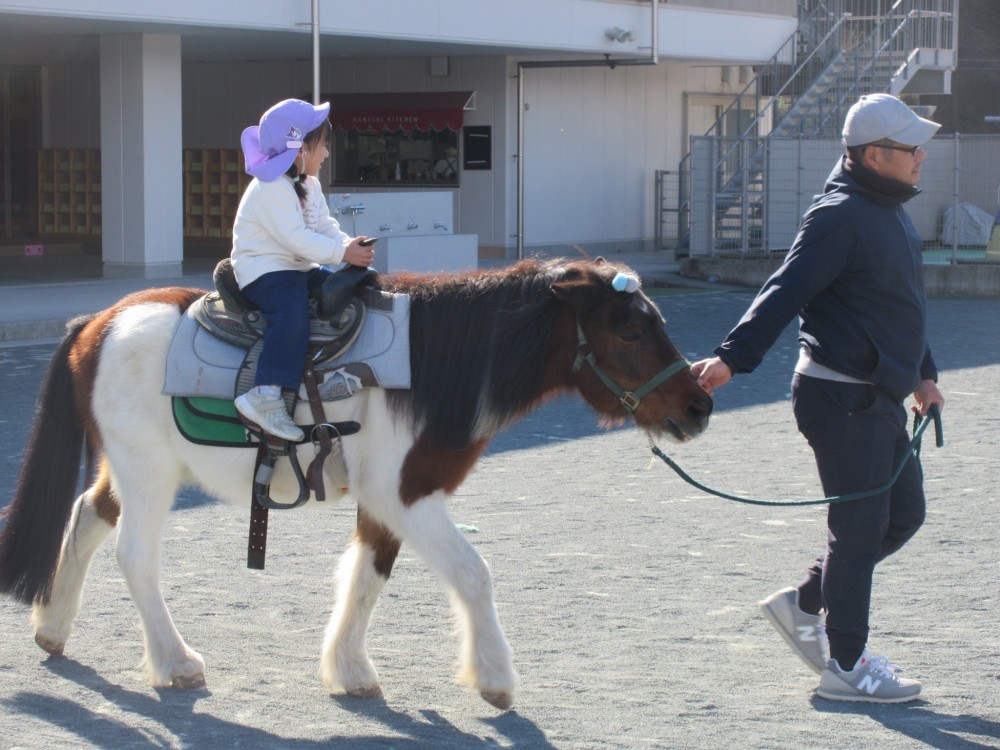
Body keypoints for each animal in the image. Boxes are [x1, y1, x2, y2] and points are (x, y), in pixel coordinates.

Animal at [0, 257, 712, 710]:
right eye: (630, 328)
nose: (699, 405)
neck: (426, 366)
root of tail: (96, 323)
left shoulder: (386, 500)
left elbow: (369, 576)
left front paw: (349, 669)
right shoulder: (409, 494)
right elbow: (473, 573)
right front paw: (494, 676)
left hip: (131, 469)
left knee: (87, 516)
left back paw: (54, 628)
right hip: (148, 472)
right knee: (134, 555)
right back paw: (175, 663)